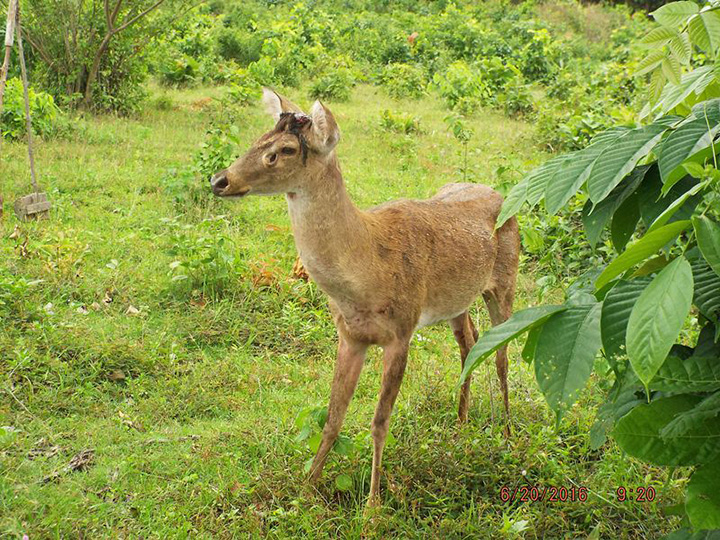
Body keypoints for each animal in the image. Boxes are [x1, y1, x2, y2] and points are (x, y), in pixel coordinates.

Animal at [211, 88, 520, 506]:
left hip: (505, 282)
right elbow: (332, 417)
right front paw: (305, 490)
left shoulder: (402, 331)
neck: (367, 274)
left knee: (502, 356)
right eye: (260, 137)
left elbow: (378, 421)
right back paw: (460, 425)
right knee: (469, 344)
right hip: (457, 300)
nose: (219, 180)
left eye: (286, 149)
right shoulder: (349, 335)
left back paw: (507, 434)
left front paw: (372, 504)